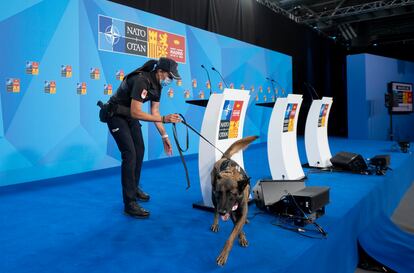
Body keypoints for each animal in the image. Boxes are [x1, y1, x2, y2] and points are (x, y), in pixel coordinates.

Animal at [210, 135, 258, 264]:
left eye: (231, 194)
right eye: (220, 193)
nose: (223, 212)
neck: (230, 174)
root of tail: (224, 158)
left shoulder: (240, 210)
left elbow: (233, 233)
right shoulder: (230, 212)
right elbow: (236, 228)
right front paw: (241, 237)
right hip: (213, 197)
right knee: (215, 210)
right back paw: (216, 223)